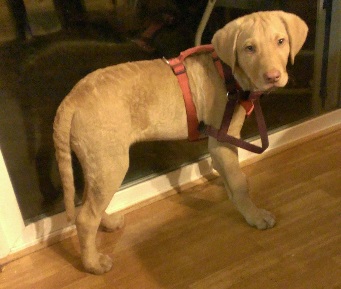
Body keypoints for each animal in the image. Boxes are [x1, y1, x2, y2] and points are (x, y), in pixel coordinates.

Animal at [53, 10, 308, 272]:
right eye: (249, 48)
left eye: (281, 41)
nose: (273, 77)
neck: (228, 73)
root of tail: (71, 99)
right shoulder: (222, 141)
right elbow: (238, 183)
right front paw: (254, 215)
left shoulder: (221, 142)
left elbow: (229, 174)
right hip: (111, 163)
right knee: (86, 218)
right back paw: (93, 264)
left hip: (97, 163)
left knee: (88, 201)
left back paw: (108, 224)